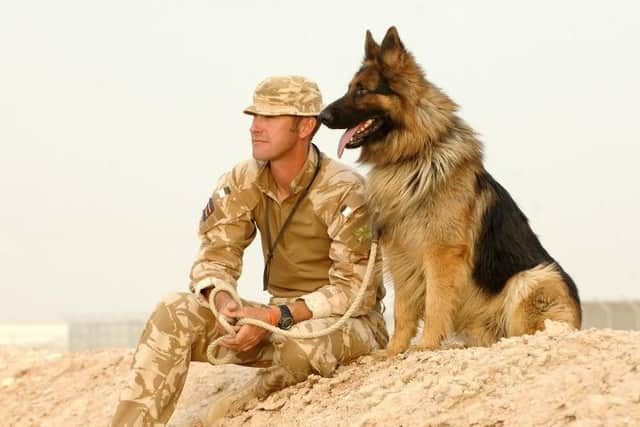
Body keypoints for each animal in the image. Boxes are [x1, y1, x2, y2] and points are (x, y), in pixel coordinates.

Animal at [320, 25, 580, 356]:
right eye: (350, 88)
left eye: (362, 90)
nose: (321, 117)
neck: (413, 156)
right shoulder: (401, 255)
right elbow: (403, 310)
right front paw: (394, 351)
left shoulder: (440, 253)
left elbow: (435, 302)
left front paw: (427, 344)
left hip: (533, 277)